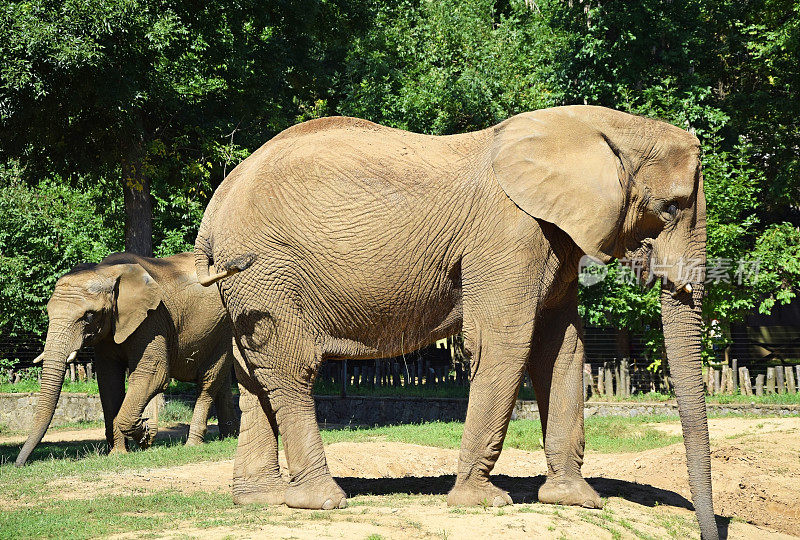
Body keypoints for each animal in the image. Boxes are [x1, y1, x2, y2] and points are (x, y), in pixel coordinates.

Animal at [15, 251, 239, 466]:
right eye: (48, 312)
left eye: (89, 316)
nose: (19, 464)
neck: (106, 272)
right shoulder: (109, 330)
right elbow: (109, 382)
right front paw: (119, 453)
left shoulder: (153, 318)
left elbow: (153, 374)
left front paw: (147, 435)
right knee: (221, 381)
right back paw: (229, 436)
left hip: (224, 327)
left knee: (208, 382)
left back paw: (192, 444)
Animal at [195, 106, 720, 540]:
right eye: (671, 207)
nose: (708, 533)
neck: (599, 127)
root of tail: (215, 207)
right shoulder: (510, 233)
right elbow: (505, 344)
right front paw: (484, 503)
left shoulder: (555, 239)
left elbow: (562, 350)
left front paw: (577, 501)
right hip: (268, 270)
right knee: (291, 369)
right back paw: (324, 502)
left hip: (249, 285)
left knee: (253, 376)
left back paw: (261, 500)